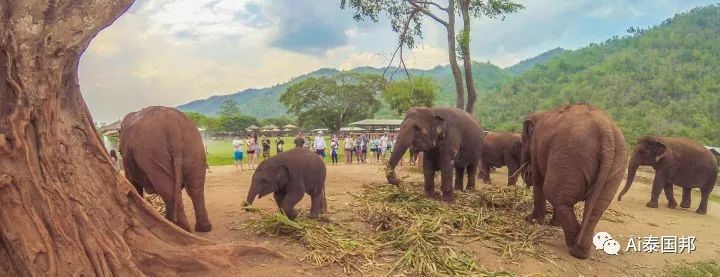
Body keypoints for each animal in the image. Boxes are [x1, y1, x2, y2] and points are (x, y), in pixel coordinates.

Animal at [520, 102, 628, 258]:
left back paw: (573, 247)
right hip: (616, 163)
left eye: (522, 141)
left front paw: (532, 221)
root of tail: (606, 132)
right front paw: (552, 223)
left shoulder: (536, 146)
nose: (525, 174)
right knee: (595, 206)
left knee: (554, 193)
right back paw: (581, 250)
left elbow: (538, 180)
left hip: (570, 155)